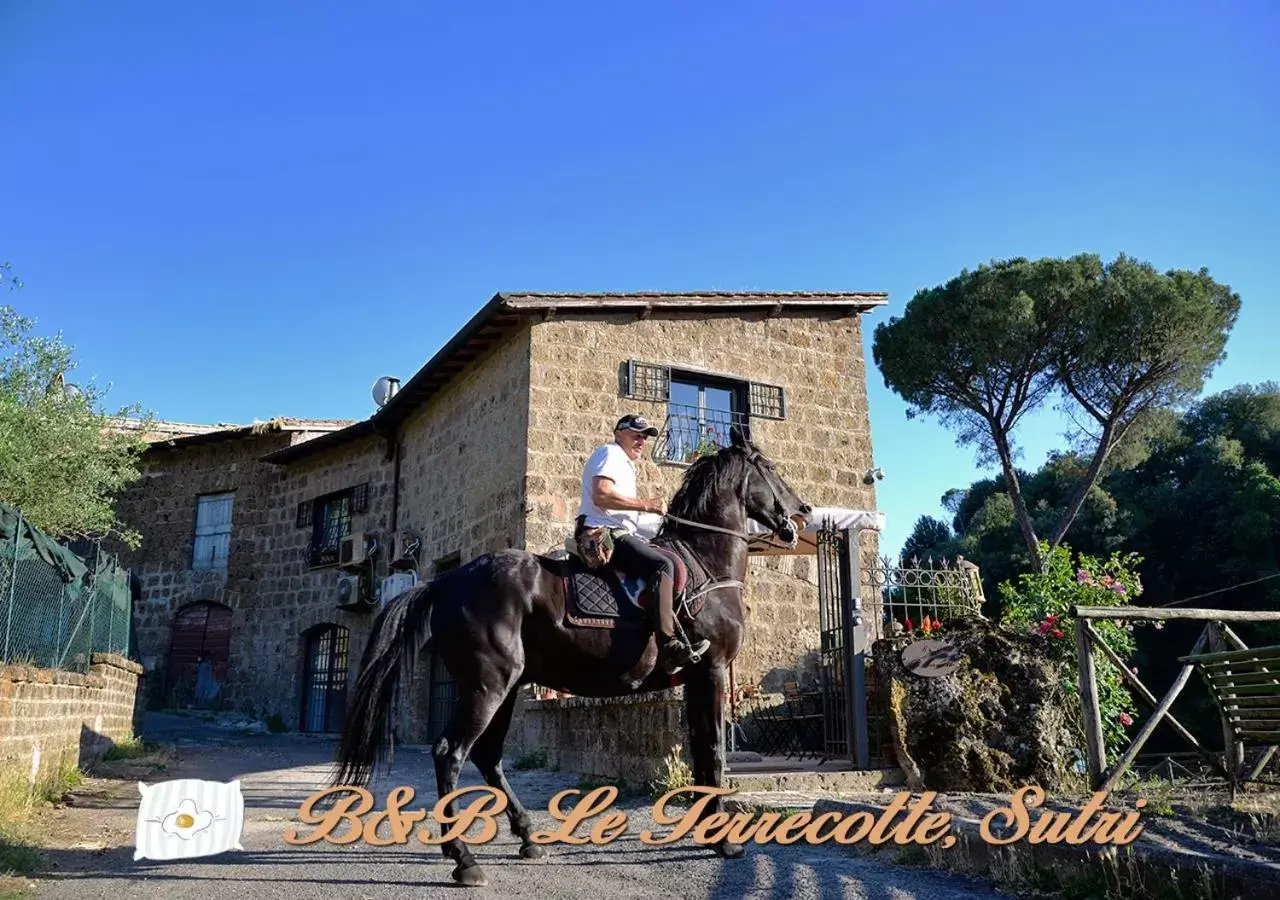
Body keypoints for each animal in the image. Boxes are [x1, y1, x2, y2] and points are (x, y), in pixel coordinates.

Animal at [330, 427, 808, 885]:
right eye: (769, 468)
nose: (801, 512)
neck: (707, 563)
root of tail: (444, 583)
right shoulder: (711, 673)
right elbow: (713, 751)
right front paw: (723, 841)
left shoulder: (693, 681)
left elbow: (699, 751)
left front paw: (706, 831)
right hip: (487, 687)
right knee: (451, 753)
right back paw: (464, 859)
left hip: (506, 689)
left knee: (487, 756)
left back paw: (528, 838)